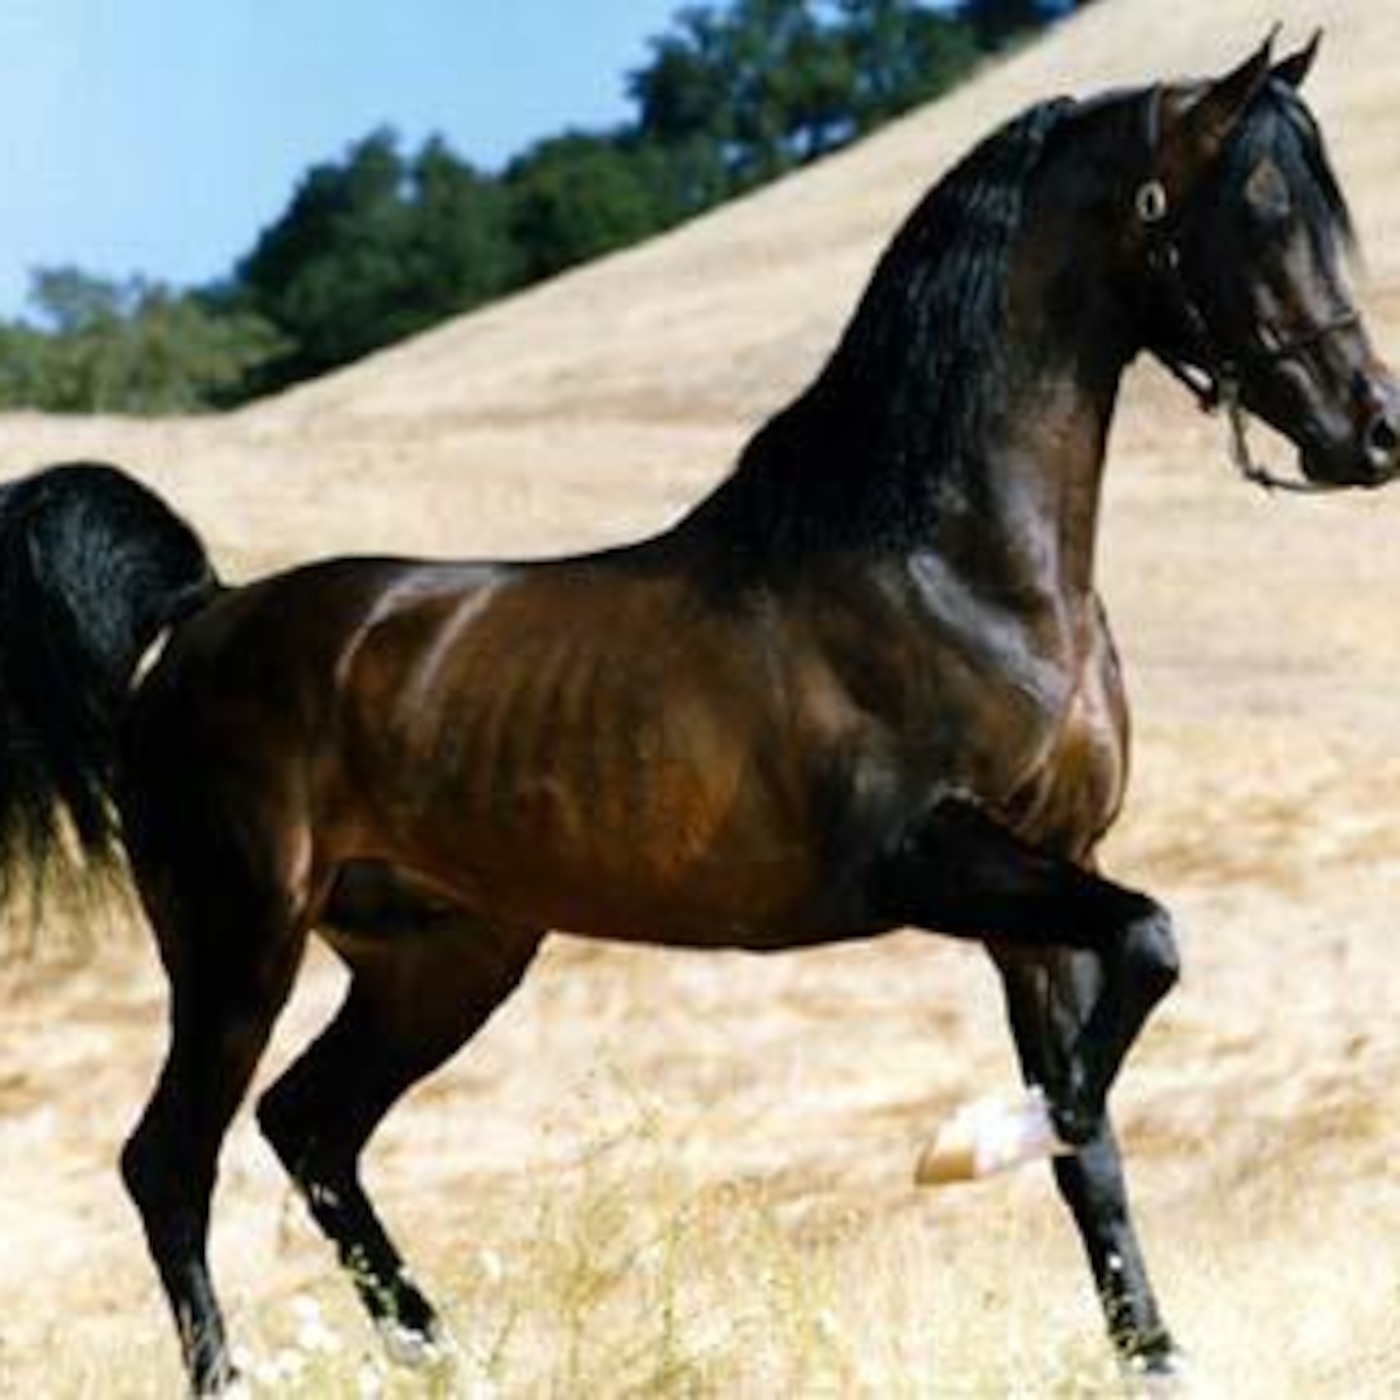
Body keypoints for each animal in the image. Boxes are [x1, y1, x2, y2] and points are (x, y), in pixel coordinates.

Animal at [0, 33, 1394, 1394]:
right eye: (1258, 208)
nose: (1367, 431)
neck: (952, 566)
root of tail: (201, 617)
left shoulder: (1048, 876)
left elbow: (1089, 1118)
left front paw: (1152, 1351)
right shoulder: (926, 858)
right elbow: (1141, 960)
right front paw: (962, 1142)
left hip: (442, 957)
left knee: (311, 1128)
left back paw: (451, 1364)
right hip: (238, 942)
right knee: (171, 1158)